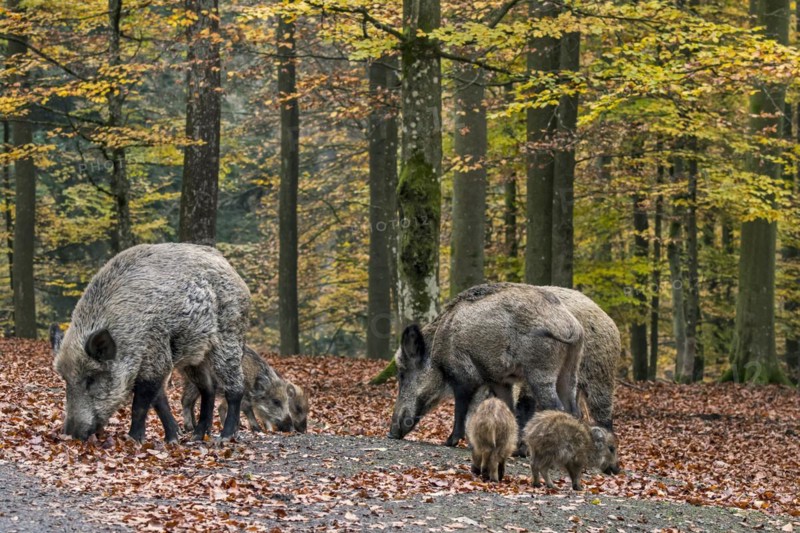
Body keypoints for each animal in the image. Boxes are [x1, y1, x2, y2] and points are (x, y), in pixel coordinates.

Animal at [50, 243, 250, 442]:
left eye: (91, 379)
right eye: (65, 378)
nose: (71, 434)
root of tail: (236, 276)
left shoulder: (155, 355)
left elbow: (140, 405)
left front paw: (133, 440)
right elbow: (159, 401)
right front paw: (172, 439)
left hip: (229, 337)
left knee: (235, 389)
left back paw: (224, 437)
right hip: (195, 356)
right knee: (208, 389)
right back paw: (197, 437)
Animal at [388, 283, 584, 447]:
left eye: (402, 374)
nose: (391, 434)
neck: (437, 349)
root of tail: (572, 325)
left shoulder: (463, 377)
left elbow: (461, 410)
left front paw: (449, 442)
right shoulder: (498, 380)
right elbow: (507, 409)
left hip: (541, 370)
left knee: (557, 407)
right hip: (571, 368)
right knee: (574, 411)